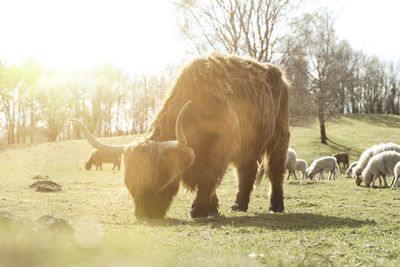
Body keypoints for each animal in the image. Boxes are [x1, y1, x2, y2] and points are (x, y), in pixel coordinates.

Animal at [72, 53, 290, 219]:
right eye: (129, 183)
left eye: (158, 179)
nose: (144, 214)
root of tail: (279, 74)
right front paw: (212, 208)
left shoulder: (219, 150)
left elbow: (208, 177)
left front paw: (198, 209)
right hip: (248, 147)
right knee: (247, 170)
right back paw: (239, 205)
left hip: (279, 136)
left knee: (274, 170)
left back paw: (276, 206)